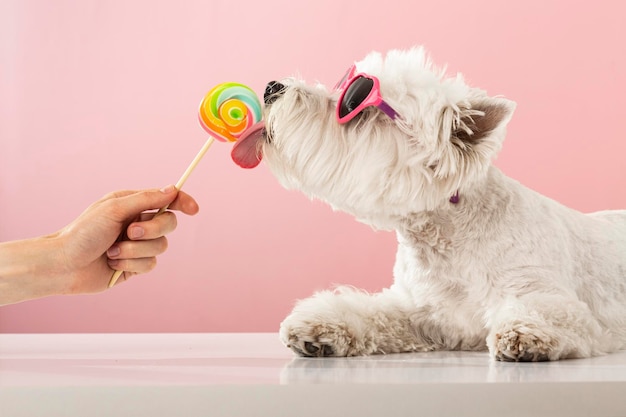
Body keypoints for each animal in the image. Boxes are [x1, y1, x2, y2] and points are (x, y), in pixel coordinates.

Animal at [230, 44, 624, 358]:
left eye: (356, 106)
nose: (272, 87)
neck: (448, 242)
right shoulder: (420, 310)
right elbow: (372, 313)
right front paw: (320, 327)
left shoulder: (544, 294)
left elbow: (549, 313)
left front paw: (525, 334)